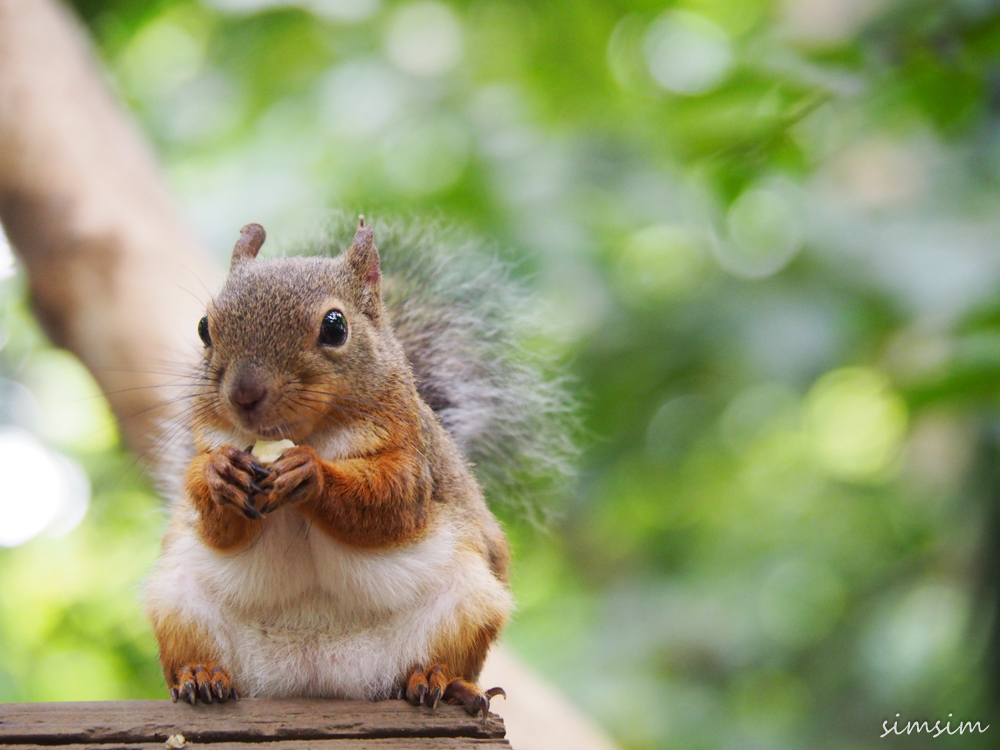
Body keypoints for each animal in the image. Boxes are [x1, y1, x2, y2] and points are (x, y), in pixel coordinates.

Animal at [144, 214, 576, 720]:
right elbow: (216, 524)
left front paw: (311, 473)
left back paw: (441, 682)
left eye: (335, 327)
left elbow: (392, 504)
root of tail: (317, 671)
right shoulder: (209, 446)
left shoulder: (414, 459)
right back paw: (202, 676)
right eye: (204, 328)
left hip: (467, 605)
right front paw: (219, 476)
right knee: (193, 652)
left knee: (437, 659)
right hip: (179, 604)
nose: (244, 395)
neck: (311, 433)